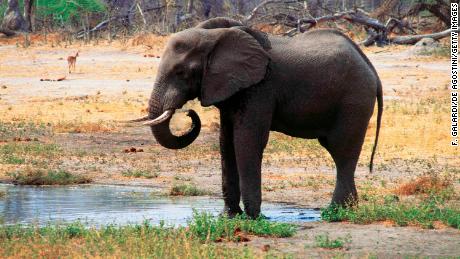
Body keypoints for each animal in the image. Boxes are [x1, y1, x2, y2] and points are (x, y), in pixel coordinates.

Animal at [127, 16, 382, 219]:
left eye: (181, 72)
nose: (190, 113)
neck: (215, 38)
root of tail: (370, 66)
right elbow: (226, 143)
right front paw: (229, 217)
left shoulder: (260, 88)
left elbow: (247, 141)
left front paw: (253, 218)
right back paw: (347, 210)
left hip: (354, 100)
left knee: (342, 152)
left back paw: (334, 213)